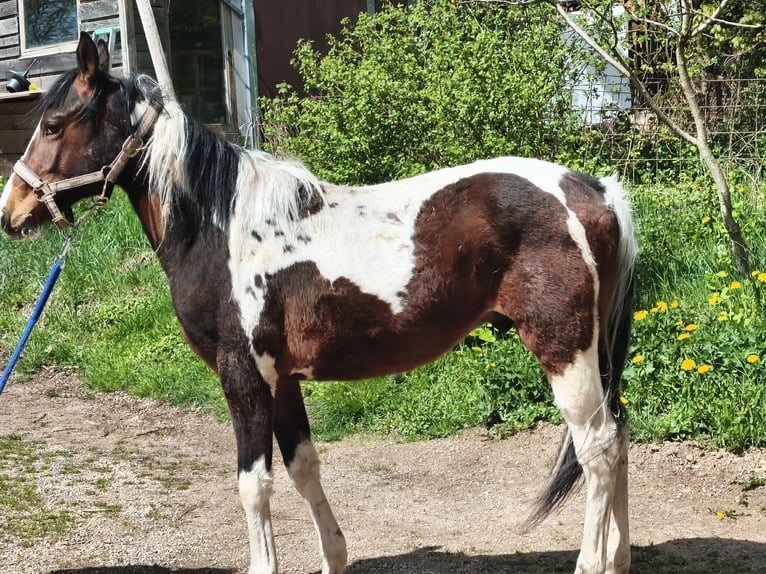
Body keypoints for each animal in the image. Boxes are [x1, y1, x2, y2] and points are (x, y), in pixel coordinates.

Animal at [0, 33, 637, 574]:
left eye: (53, 124)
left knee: (597, 449)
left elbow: (253, 484)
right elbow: (304, 468)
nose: (12, 212)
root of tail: (596, 191)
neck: (223, 228)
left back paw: (591, 562)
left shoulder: (243, 376)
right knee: (621, 436)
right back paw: (620, 557)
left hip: (563, 349)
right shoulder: (282, 380)